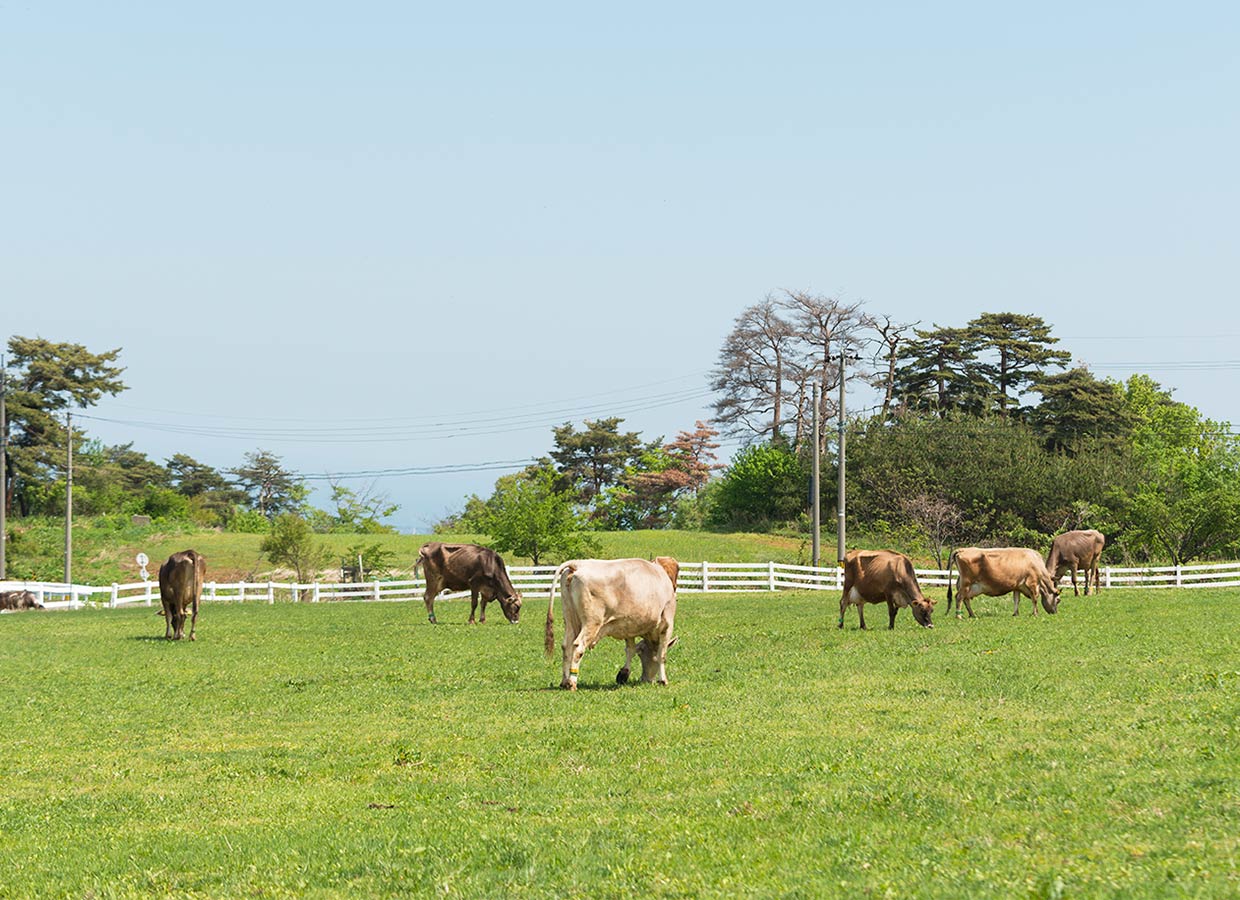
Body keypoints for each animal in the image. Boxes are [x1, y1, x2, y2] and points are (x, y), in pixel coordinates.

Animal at [545, 560, 679, 694]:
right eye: (642, 656)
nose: (646, 680)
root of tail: (577, 564)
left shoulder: (629, 625)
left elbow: (630, 649)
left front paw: (623, 674)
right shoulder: (667, 624)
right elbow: (662, 654)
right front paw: (663, 680)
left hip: (569, 620)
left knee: (566, 647)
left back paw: (564, 681)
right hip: (591, 623)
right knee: (578, 647)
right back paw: (572, 683)